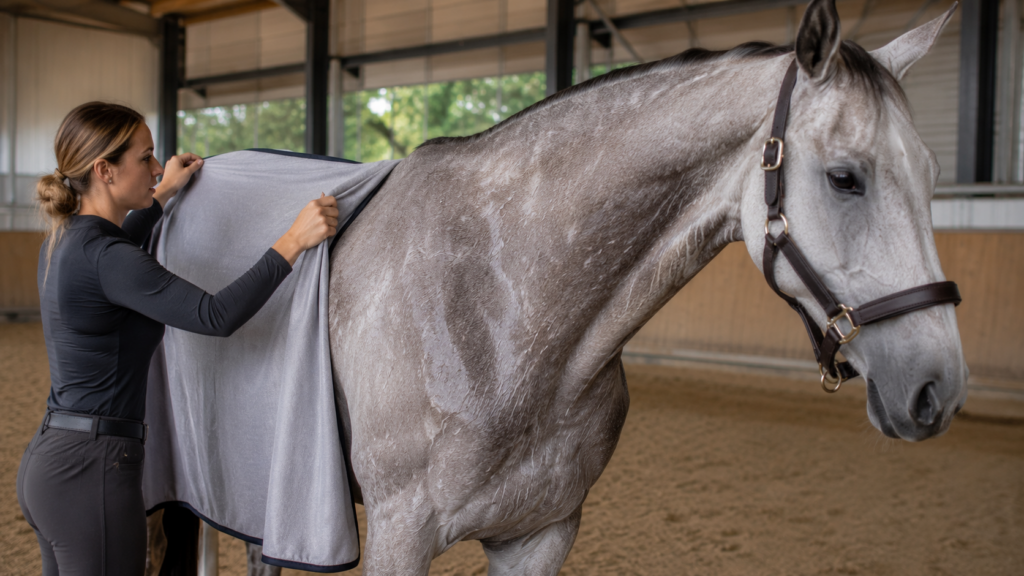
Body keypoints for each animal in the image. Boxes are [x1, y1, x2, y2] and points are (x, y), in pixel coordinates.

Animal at [229, 1, 966, 574]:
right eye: (845, 177)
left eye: (932, 173)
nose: (940, 390)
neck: (502, 312)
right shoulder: (398, 536)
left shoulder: (540, 535)